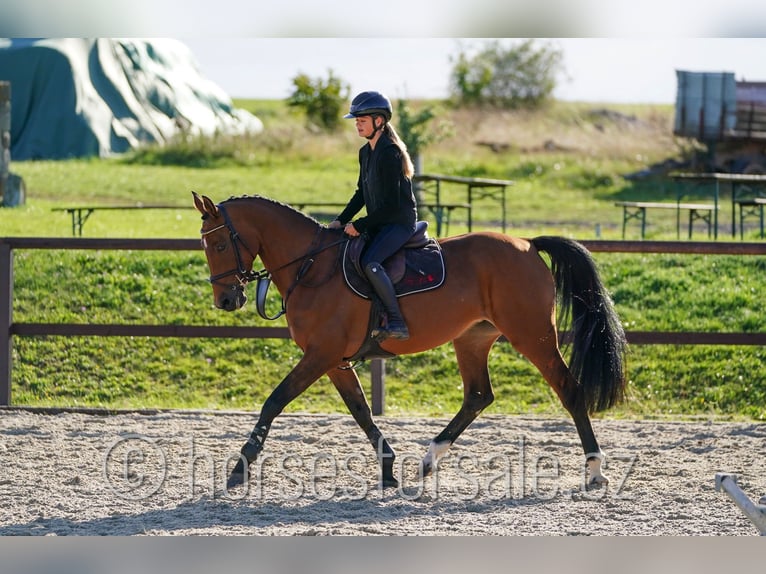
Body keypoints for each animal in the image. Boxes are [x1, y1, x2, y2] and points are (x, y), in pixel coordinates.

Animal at [191, 191, 628, 491]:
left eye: (219, 244)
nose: (226, 300)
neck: (312, 267)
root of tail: (527, 244)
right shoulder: (335, 361)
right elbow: (361, 411)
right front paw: (388, 469)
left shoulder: (321, 355)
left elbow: (275, 400)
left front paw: (239, 468)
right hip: (472, 339)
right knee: (478, 396)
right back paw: (427, 462)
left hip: (532, 336)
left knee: (569, 390)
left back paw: (594, 472)